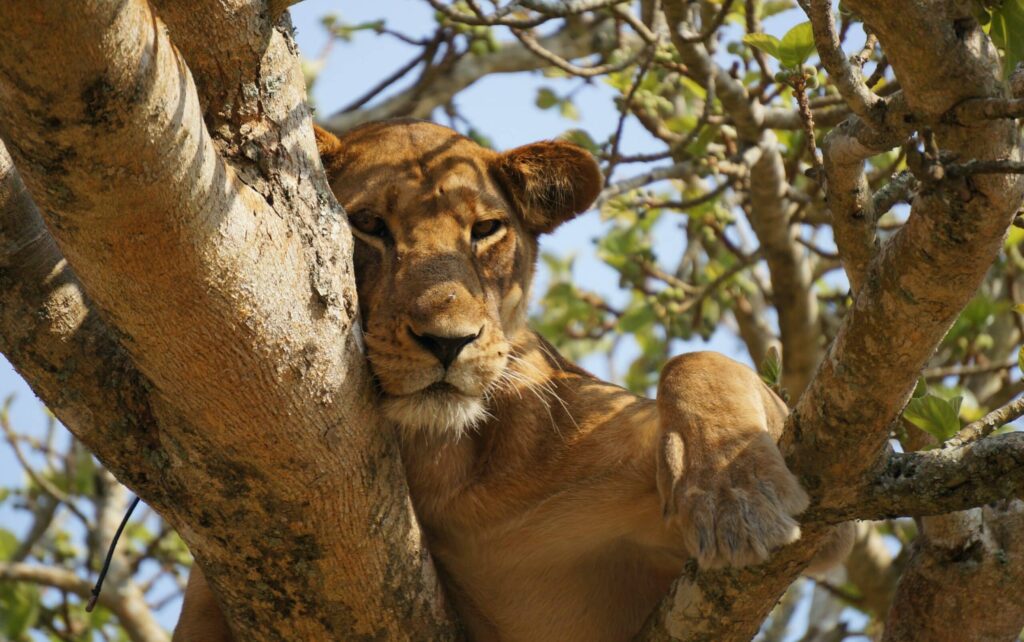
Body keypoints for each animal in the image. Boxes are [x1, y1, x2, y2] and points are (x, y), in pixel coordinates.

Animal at [173, 119, 851, 642]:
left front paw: (734, 494)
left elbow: (697, 363)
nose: (448, 341)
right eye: (366, 224)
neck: (445, 467)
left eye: (484, 230)